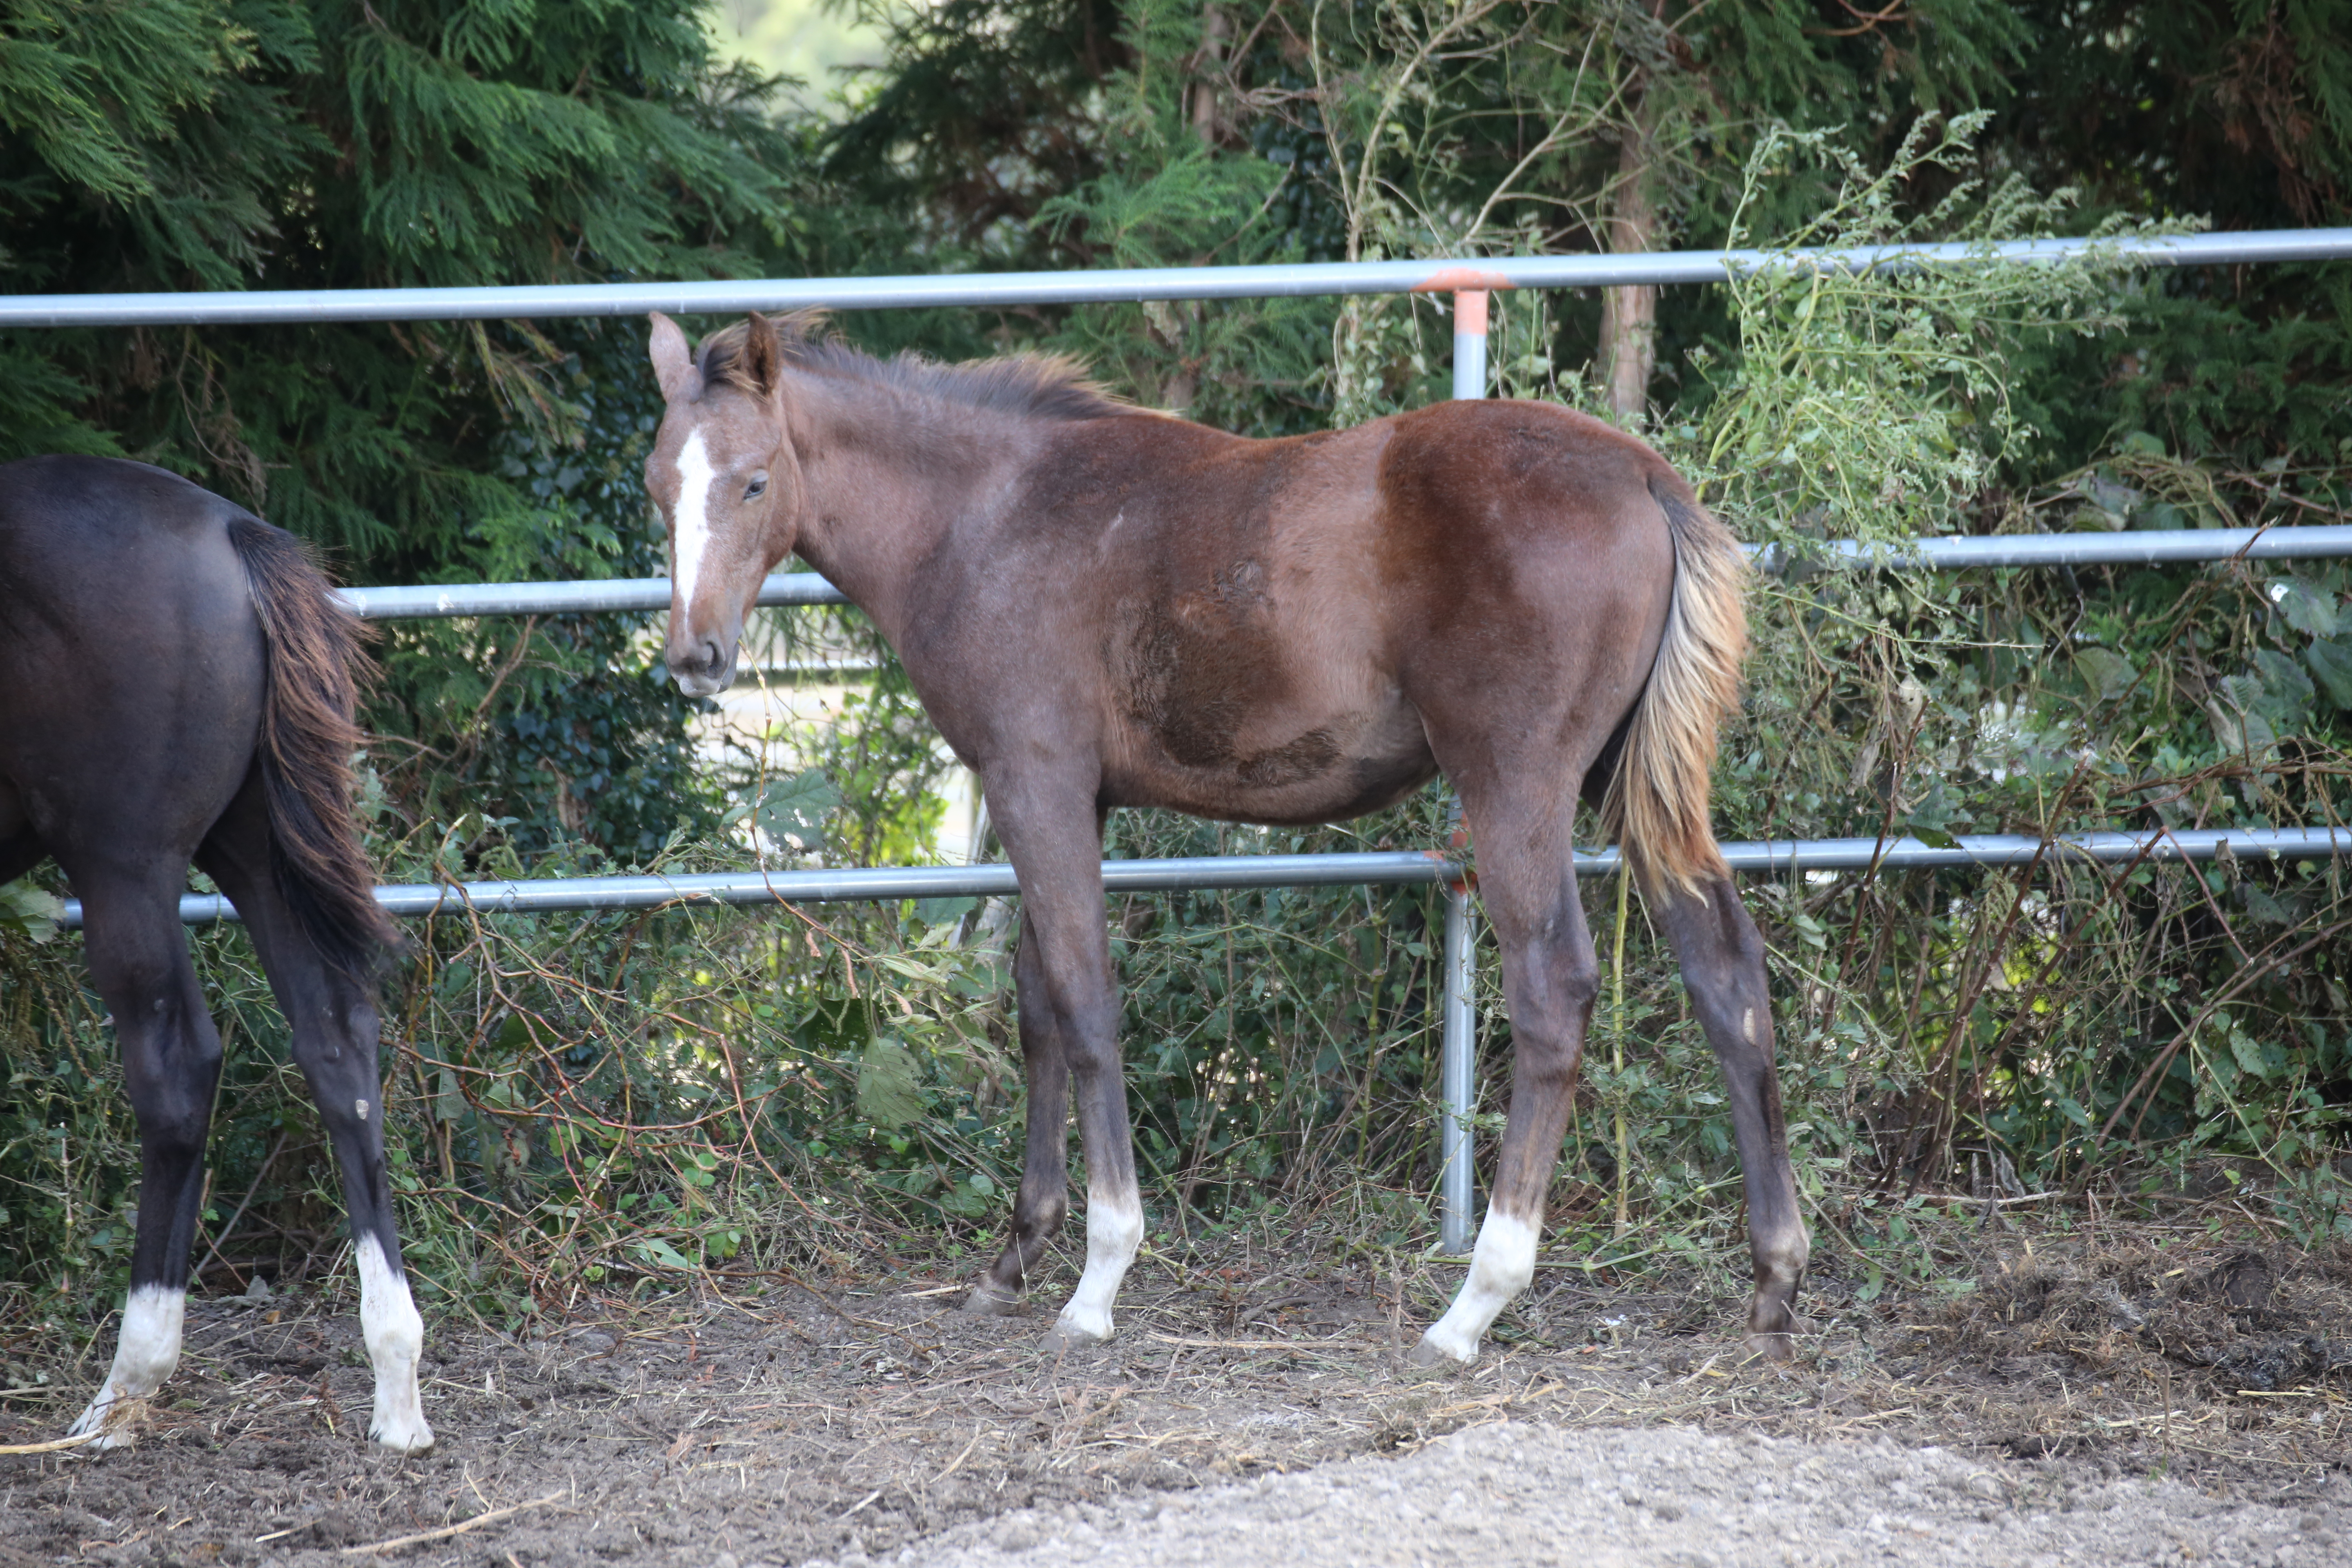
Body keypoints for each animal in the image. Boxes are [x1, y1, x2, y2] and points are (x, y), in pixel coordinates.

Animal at [0, 461, 432, 1457]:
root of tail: (231, 535)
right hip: (257, 842)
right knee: (337, 1042)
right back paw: (397, 1390)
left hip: (125, 865)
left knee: (179, 1071)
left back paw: (124, 1391)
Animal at [635, 310, 1806, 1363]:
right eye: (657, 486)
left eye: (753, 481)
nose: (694, 658)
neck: (985, 520)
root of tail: (1645, 478)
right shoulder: (1065, 798)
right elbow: (1037, 1008)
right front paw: (1014, 1259)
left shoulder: (1035, 781)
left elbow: (1086, 1006)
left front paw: (1098, 1280)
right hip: (1632, 782)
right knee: (1726, 972)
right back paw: (1773, 1280)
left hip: (1518, 782)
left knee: (1556, 991)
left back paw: (1473, 1308)